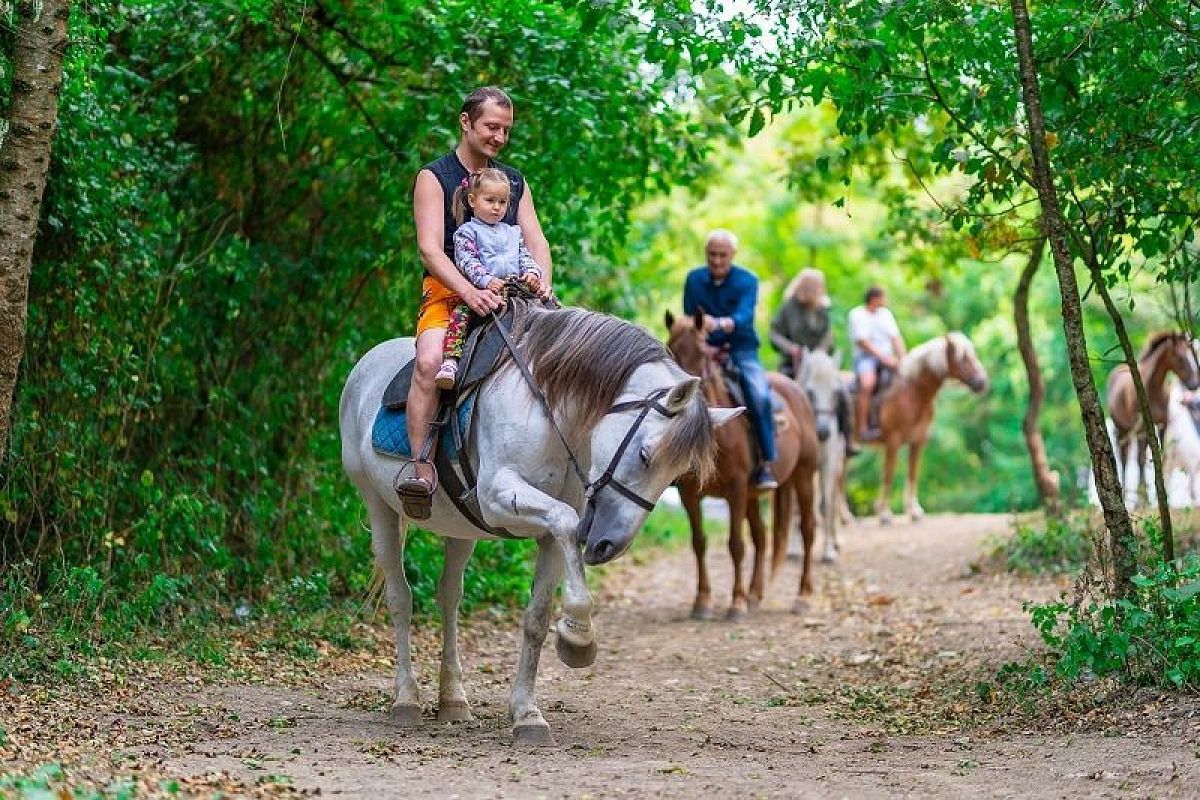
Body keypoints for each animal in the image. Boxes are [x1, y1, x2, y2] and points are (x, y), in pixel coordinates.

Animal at [340, 303, 739, 748]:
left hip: (459, 529)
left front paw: (527, 713)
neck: (550, 409)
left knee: (449, 598)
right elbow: (566, 522)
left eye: (677, 474)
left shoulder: (550, 534)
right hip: (378, 506)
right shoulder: (497, 496)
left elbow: (536, 618)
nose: (609, 545)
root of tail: (364, 365)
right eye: (644, 454)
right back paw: (406, 698)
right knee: (400, 597)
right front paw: (579, 636)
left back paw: (454, 701)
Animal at [662, 309, 820, 618]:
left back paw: (803, 597)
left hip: (803, 477)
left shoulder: (735, 488)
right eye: (670, 349)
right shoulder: (689, 494)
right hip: (752, 496)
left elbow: (736, 544)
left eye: (701, 351)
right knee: (762, 535)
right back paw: (755, 594)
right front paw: (703, 602)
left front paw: (735, 603)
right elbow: (699, 543)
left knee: (807, 530)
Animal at [868, 331, 988, 525]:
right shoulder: (893, 442)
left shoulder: (918, 441)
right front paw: (884, 513)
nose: (982, 382)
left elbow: (912, 473)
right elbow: (888, 475)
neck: (913, 393)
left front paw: (914, 511)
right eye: (963, 358)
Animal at [1104, 328, 1200, 503]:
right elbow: (1141, 459)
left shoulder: (1163, 425)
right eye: (1180, 357)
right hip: (1122, 428)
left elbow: (1162, 456)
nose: (1194, 385)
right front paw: (1146, 499)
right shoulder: (1142, 426)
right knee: (1125, 458)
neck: (1152, 388)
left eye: (1192, 353)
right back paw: (1129, 495)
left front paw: (1161, 495)